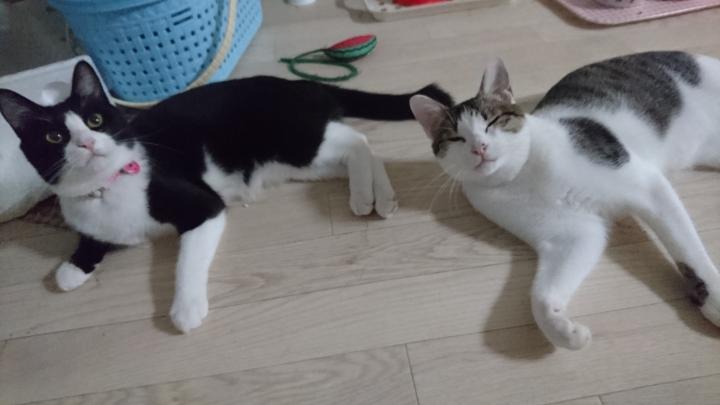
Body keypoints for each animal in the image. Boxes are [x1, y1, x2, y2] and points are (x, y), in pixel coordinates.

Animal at [0, 61, 452, 333]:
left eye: (95, 119)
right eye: (55, 137)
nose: (88, 143)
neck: (107, 188)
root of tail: (303, 84)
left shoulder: (203, 206)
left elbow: (187, 260)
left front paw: (185, 309)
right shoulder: (88, 217)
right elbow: (88, 243)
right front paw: (71, 269)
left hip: (295, 140)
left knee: (357, 140)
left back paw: (371, 197)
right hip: (294, 161)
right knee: (355, 149)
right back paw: (376, 195)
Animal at [410, 51, 720, 350]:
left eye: (493, 122)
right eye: (456, 139)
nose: (479, 148)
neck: (523, 175)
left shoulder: (648, 187)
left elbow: (688, 251)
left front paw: (714, 298)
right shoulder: (572, 234)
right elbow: (541, 296)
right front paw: (563, 331)